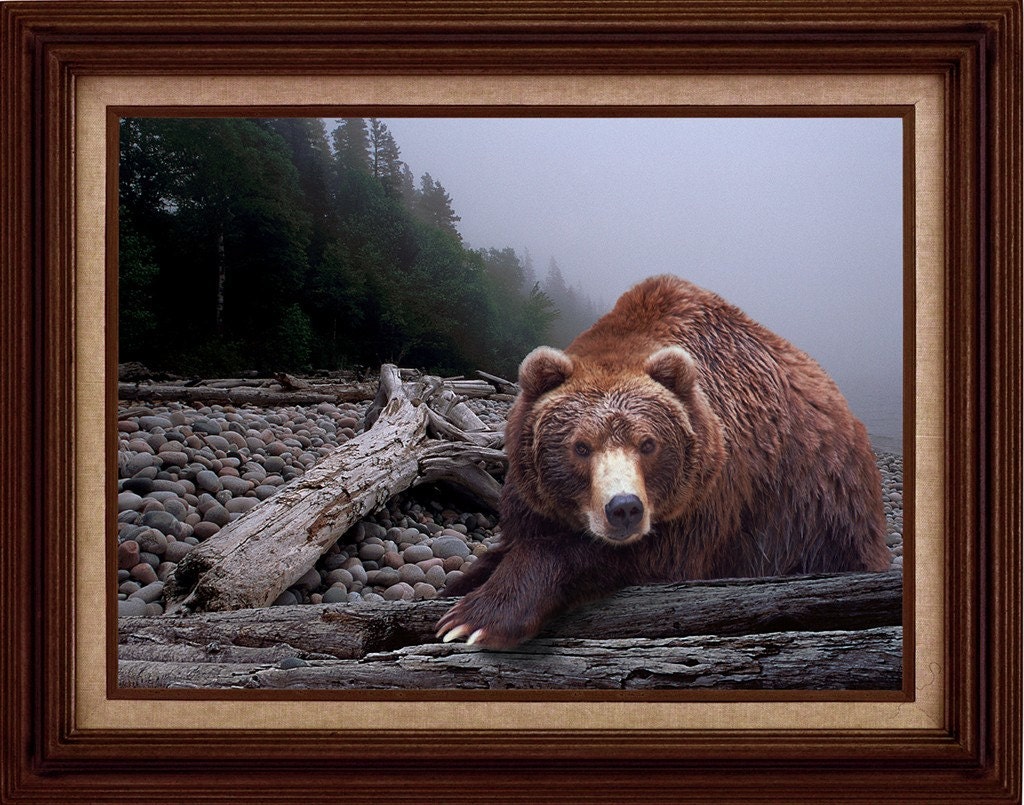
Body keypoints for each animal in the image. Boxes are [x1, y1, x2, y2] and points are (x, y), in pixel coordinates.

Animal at [436, 274, 892, 649]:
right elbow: (515, 539)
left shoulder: (711, 498)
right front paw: (459, 587)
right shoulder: (536, 499)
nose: (624, 508)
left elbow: (636, 555)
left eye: (647, 444)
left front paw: (475, 618)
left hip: (821, 513)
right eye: (581, 446)